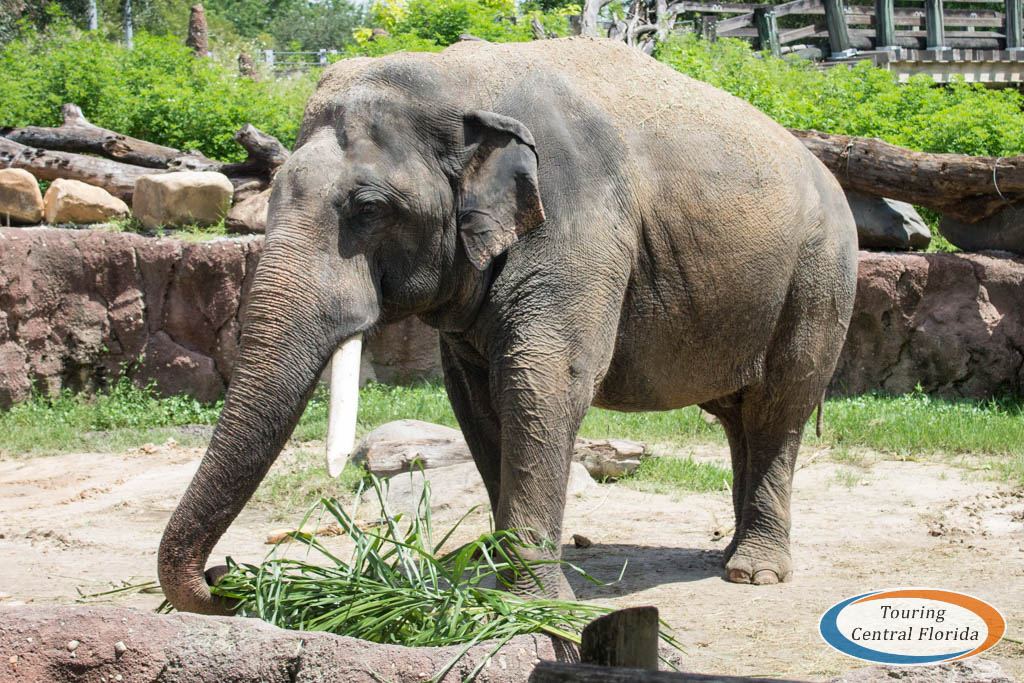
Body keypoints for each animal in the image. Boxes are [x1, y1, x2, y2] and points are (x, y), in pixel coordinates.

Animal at [155, 34, 860, 618]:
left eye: (369, 209)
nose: (226, 577)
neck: (456, 81)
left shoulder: (578, 222)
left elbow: (542, 380)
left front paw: (534, 604)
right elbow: (475, 396)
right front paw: (494, 586)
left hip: (820, 274)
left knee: (779, 406)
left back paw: (754, 574)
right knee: (741, 417)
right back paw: (728, 557)